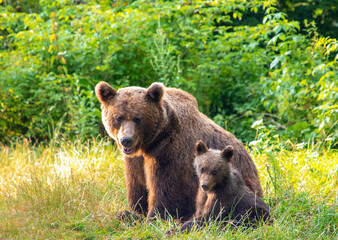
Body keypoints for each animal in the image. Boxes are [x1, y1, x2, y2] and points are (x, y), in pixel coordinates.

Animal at [95, 81, 264, 221]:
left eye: (138, 118)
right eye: (119, 117)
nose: (126, 140)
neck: (151, 143)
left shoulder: (170, 153)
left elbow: (165, 189)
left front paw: (153, 216)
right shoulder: (136, 159)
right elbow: (137, 182)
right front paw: (132, 212)